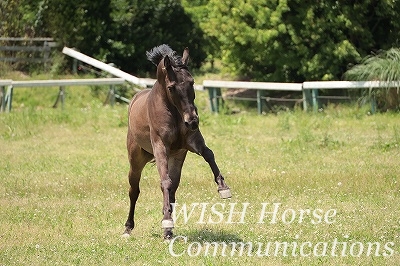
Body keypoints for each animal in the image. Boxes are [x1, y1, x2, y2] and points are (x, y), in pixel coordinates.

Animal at [124, 44, 231, 239]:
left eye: (192, 82)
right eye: (172, 87)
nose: (193, 121)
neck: (173, 112)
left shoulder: (192, 141)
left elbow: (209, 154)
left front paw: (223, 188)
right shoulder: (160, 146)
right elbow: (164, 182)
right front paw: (166, 221)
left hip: (176, 158)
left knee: (172, 188)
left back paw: (168, 228)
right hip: (136, 160)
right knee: (134, 190)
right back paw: (129, 228)